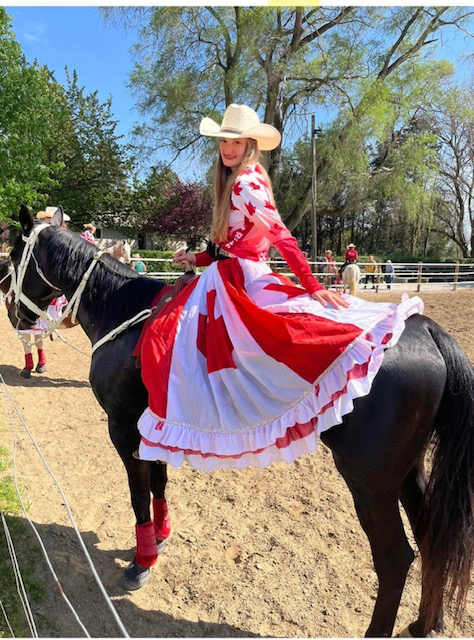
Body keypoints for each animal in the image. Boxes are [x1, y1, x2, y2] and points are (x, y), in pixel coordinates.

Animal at [3, 208, 474, 636]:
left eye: (12, 258)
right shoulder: (150, 425)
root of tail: (426, 329)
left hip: (370, 482)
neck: (123, 313)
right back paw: (425, 623)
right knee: (430, 536)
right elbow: (158, 482)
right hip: (406, 471)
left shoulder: (121, 427)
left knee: (394, 559)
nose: (13, 313)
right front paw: (162, 535)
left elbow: (138, 494)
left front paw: (142, 561)